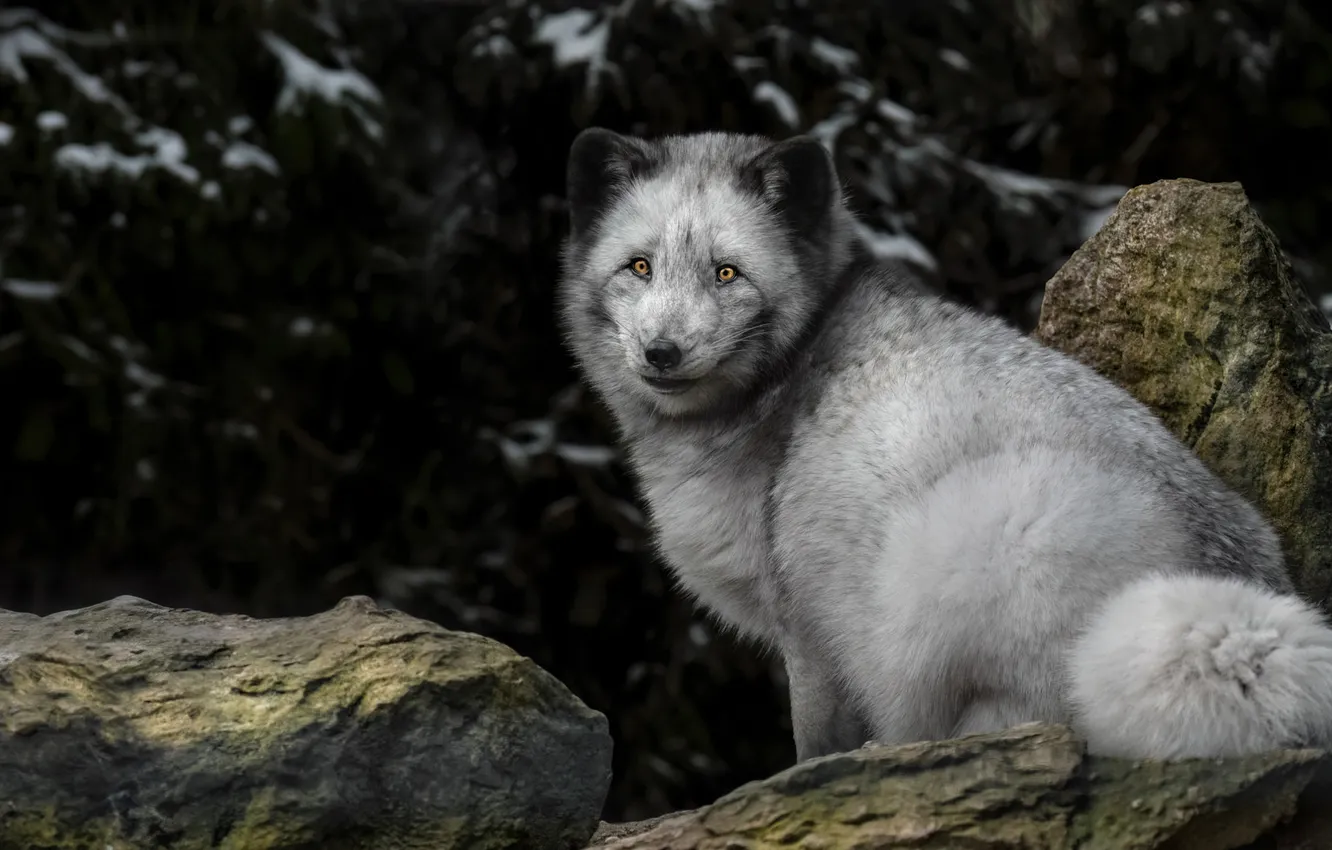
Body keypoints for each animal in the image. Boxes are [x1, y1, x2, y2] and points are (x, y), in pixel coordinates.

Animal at [555, 127, 1332, 762]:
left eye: (726, 273)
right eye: (639, 267)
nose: (661, 352)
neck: (778, 381)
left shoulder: (809, 619)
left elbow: (814, 741)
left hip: (969, 535)